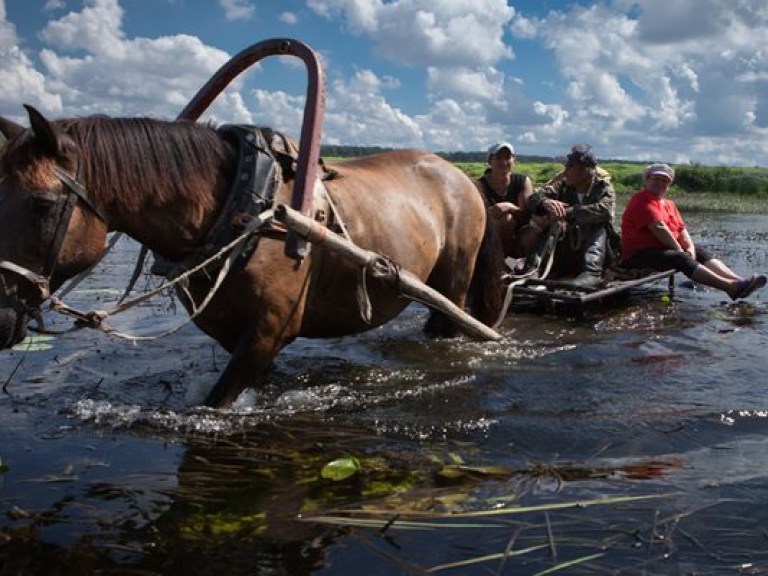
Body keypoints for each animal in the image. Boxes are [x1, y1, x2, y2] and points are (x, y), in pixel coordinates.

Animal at [0, 106, 504, 408]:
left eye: (43, 204)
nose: (2, 317)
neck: (242, 209)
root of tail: (462, 177)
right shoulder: (229, 331)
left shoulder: (269, 328)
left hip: (454, 284)